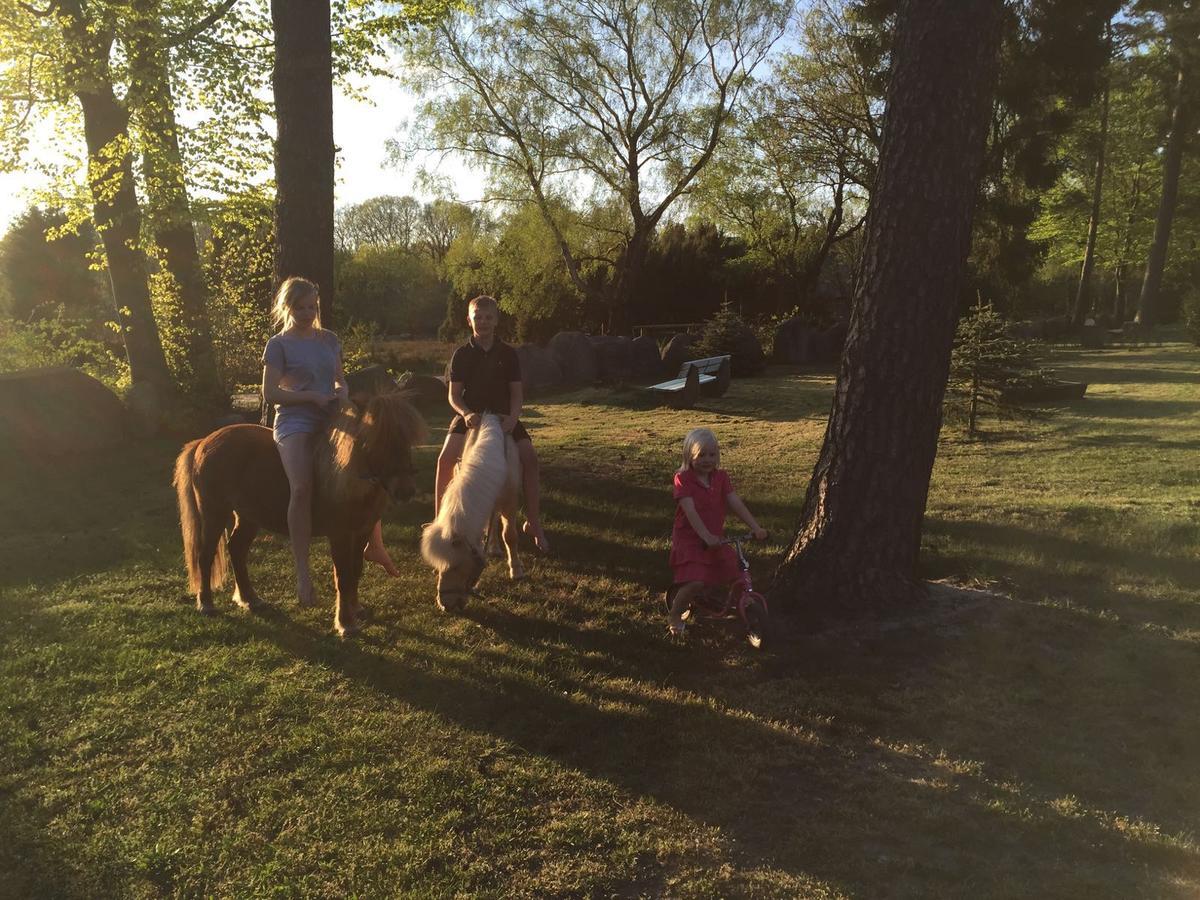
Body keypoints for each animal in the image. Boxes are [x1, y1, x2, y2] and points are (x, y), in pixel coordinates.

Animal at [174, 391, 427, 638]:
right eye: (374, 440)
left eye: (406, 439)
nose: (405, 490)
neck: (344, 475)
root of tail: (202, 442)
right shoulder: (340, 535)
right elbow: (343, 576)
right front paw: (345, 623)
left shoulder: (362, 530)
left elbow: (355, 570)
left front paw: (355, 609)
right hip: (214, 512)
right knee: (205, 555)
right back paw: (206, 604)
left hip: (248, 517)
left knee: (236, 549)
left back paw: (250, 599)